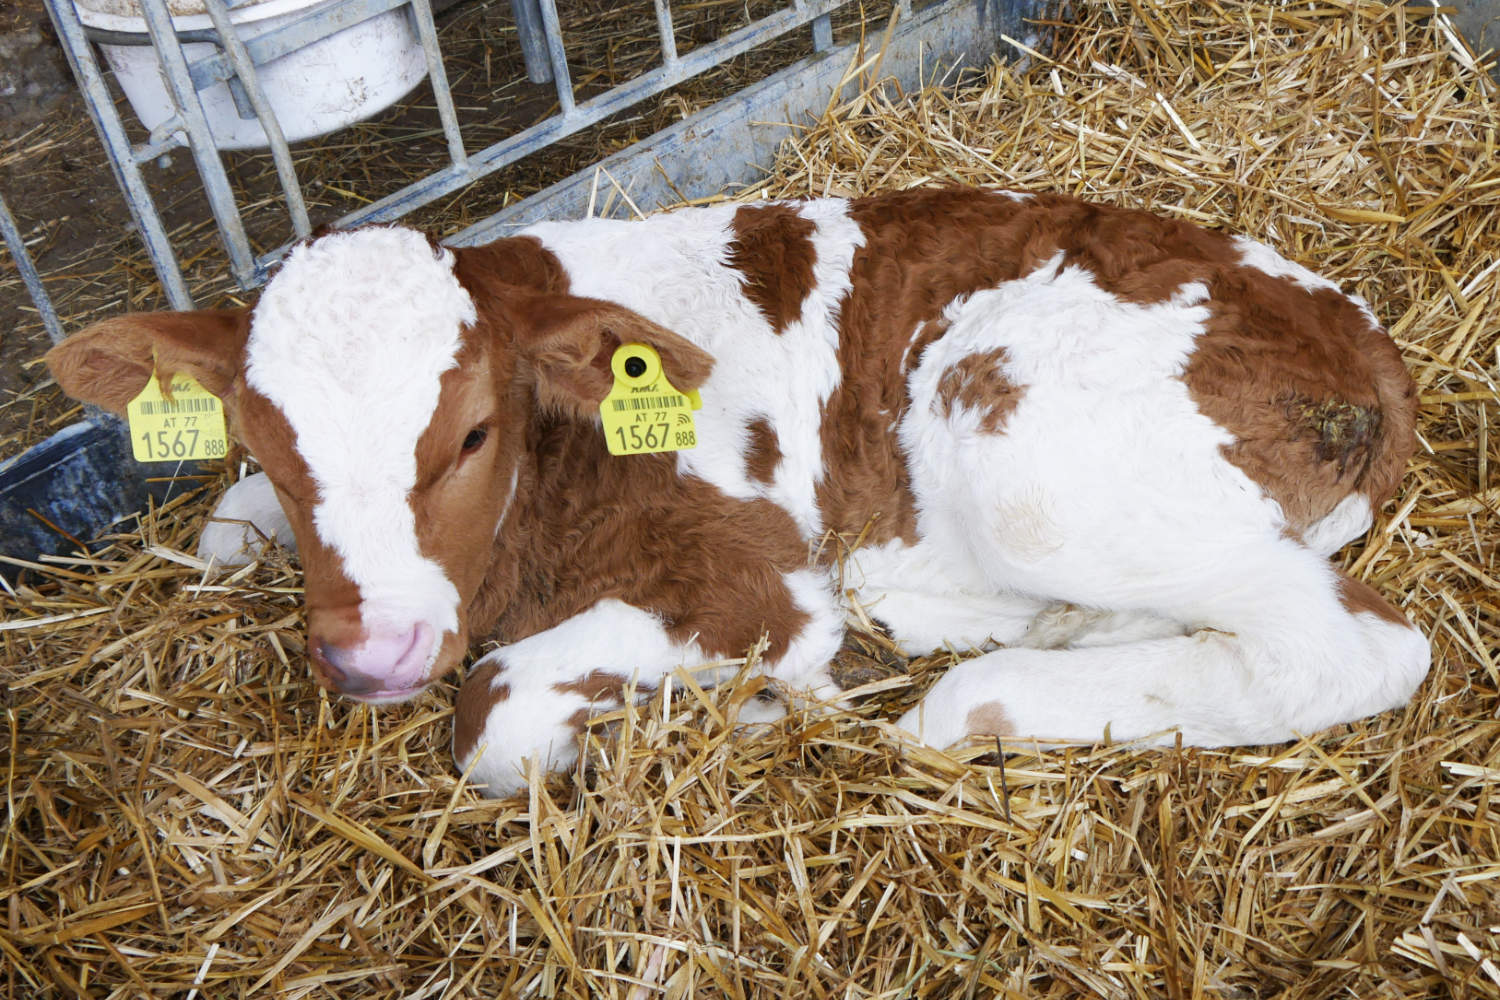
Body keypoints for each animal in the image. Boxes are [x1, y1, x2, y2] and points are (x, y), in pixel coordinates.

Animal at [49, 185, 1428, 797]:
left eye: (471, 433)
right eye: (264, 440)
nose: (371, 651)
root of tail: (1361, 342)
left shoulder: (751, 579)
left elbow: (491, 713)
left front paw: (748, 704)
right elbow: (229, 520)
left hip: (1025, 455)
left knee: (1350, 646)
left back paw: (967, 699)